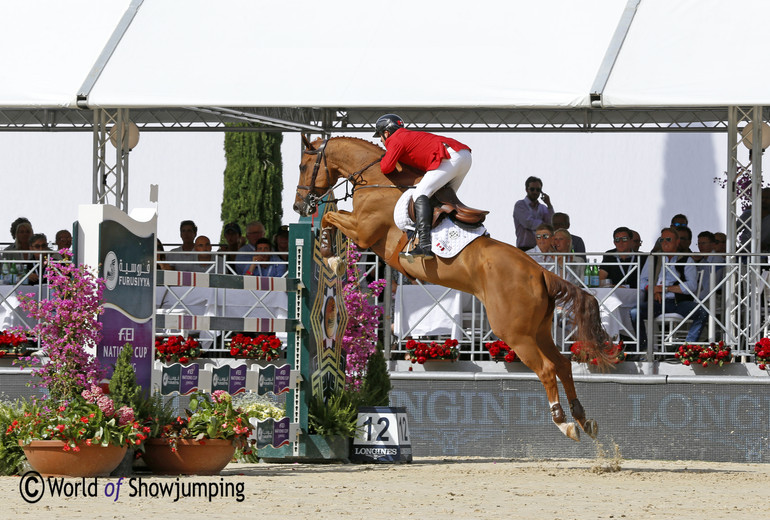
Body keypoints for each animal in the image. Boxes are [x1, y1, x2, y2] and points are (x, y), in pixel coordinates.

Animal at [292, 134, 612, 438]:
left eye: (303, 166)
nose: (299, 205)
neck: (375, 181)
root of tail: (542, 273)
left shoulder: (363, 230)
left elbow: (331, 216)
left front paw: (330, 254)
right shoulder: (362, 229)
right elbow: (333, 215)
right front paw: (332, 253)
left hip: (515, 334)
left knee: (547, 369)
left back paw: (563, 423)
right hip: (540, 330)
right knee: (563, 365)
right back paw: (583, 419)